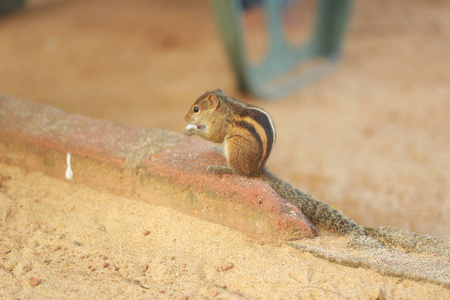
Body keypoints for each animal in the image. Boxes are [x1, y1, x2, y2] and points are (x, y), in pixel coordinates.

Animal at [185, 88, 364, 236]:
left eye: (196, 109)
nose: (185, 118)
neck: (225, 107)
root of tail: (258, 169)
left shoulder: (220, 125)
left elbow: (214, 136)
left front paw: (192, 130)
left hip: (235, 145)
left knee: (241, 172)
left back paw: (219, 167)